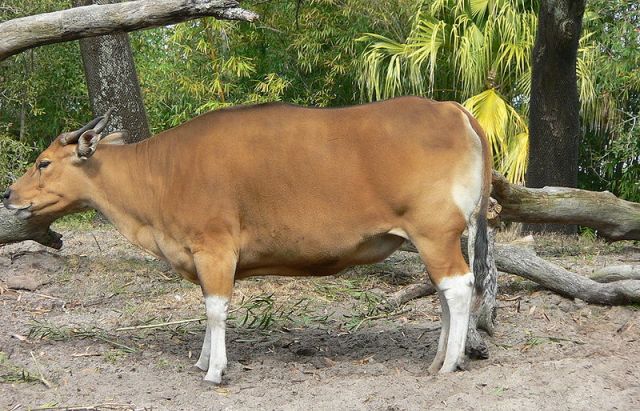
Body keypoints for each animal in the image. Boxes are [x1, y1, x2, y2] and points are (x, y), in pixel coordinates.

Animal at [3, 97, 490, 386]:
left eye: (43, 162)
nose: (8, 194)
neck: (162, 172)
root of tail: (452, 109)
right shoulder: (204, 255)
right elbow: (207, 306)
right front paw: (203, 360)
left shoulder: (215, 248)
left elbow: (216, 309)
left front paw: (215, 370)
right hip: (433, 239)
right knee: (446, 294)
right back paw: (441, 357)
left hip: (434, 233)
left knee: (458, 288)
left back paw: (450, 362)